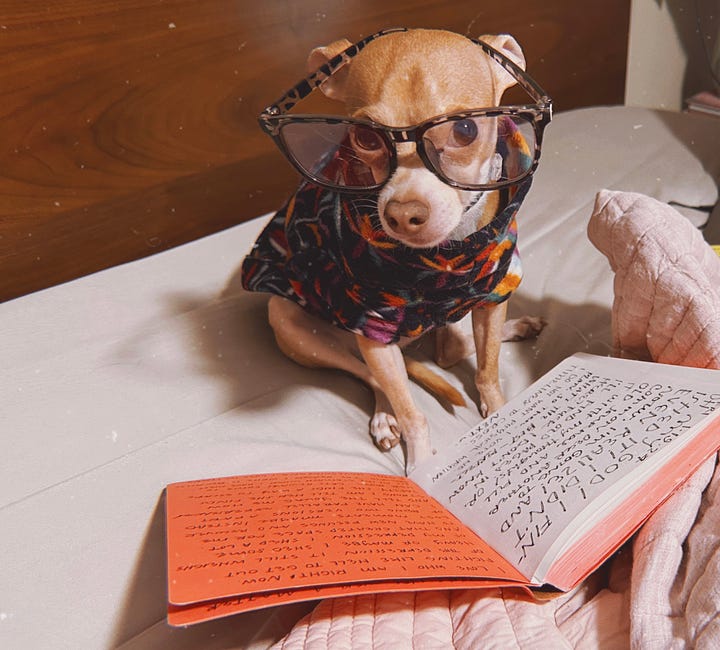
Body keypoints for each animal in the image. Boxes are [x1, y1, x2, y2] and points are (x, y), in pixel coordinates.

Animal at [245, 27, 548, 470]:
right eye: (365, 137)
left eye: (465, 131)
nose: (403, 214)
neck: (441, 261)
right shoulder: (374, 328)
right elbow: (412, 413)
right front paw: (420, 466)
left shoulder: (494, 293)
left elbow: (488, 372)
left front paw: (500, 414)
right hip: (293, 325)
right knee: (379, 377)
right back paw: (384, 417)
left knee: (452, 349)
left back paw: (516, 327)